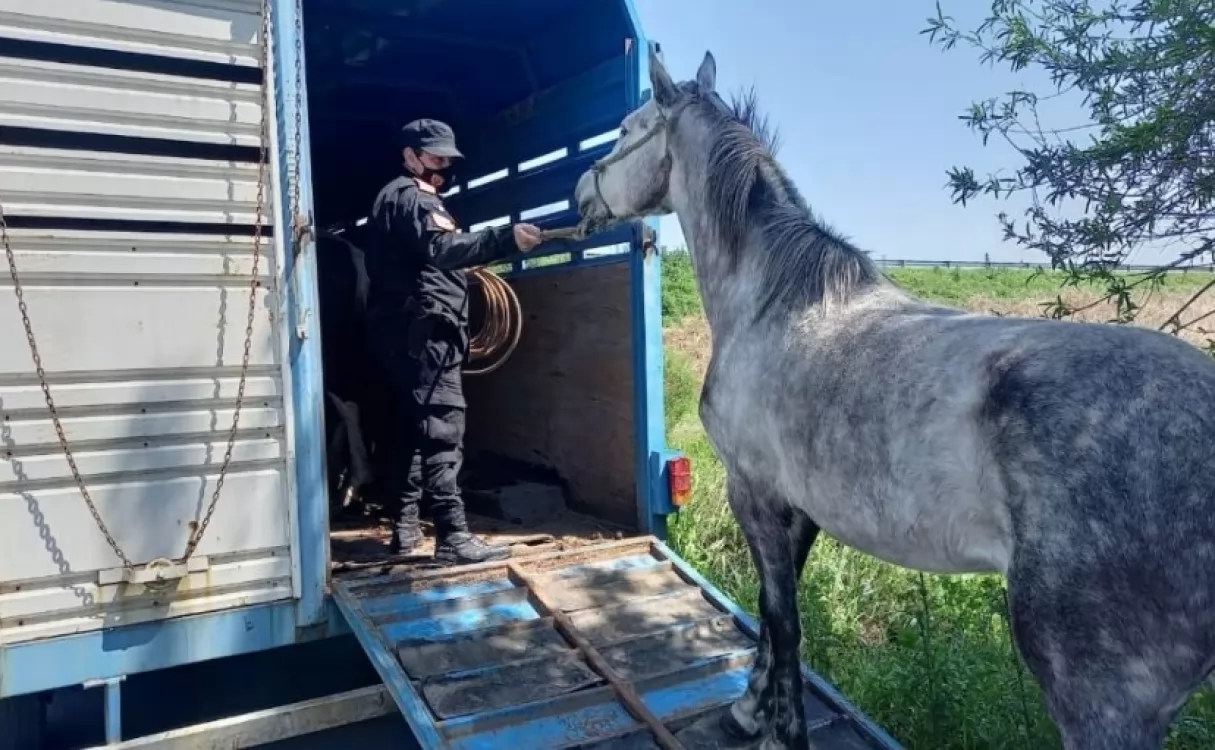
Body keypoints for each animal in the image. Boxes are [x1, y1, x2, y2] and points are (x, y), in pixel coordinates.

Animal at [573, 48, 1215, 748]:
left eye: (625, 130)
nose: (579, 192)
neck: (771, 300)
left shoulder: (754, 492)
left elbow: (783, 618)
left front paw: (778, 729)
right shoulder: (799, 506)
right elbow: (777, 611)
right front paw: (750, 709)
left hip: (1099, 693)